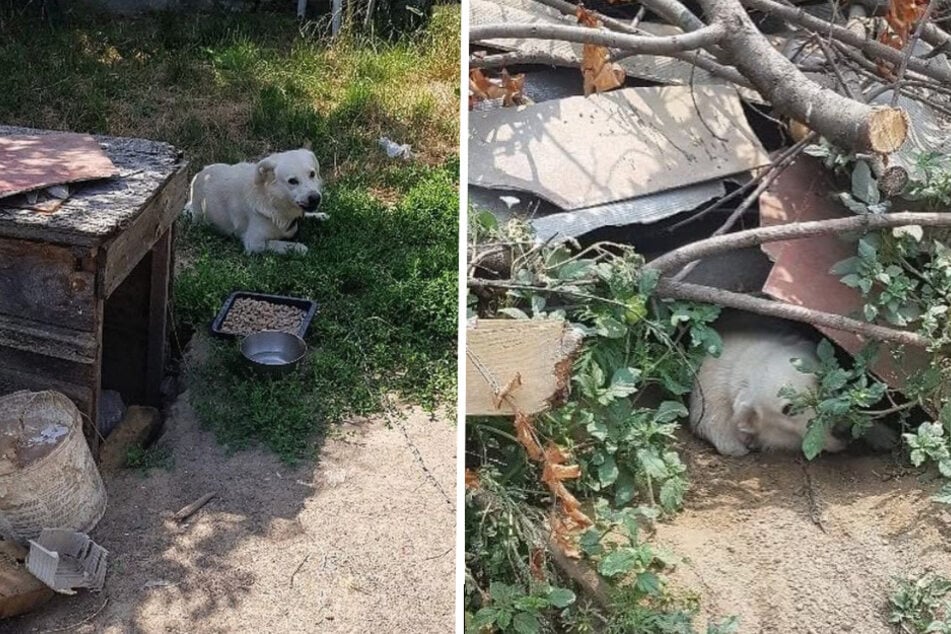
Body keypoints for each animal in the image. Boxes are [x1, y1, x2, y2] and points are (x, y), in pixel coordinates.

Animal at [184, 148, 330, 254]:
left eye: (312, 174)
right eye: (292, 181)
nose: (315, 198)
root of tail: (199, 175)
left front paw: (318, 216)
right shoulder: (254, 243)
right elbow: (278, 243)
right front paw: (298, 247)